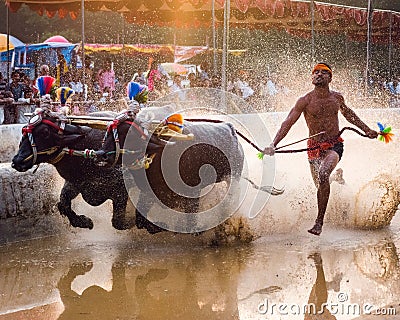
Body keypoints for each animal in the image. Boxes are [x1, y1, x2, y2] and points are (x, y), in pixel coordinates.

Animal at [11, 108, 161, 232]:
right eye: (24, 130)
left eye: (45, 132)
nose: (17, 160)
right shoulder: (74, 183)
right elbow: (63, 203)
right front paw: (84, 221)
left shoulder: (121, 190)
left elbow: (118, 221)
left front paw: (142, 223)